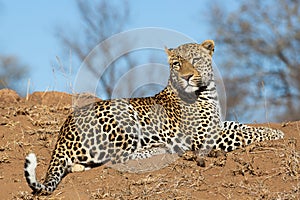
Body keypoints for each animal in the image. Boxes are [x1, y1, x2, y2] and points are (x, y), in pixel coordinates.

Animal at [24, 39, 284, 194]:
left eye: (195, 60)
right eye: (177, 64)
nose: (187, 77)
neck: (207, 92)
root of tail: (64, 130)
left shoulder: (216, 125)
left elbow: (240, 126)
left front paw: (272, 129)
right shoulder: (202, 137)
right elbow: (244, 133)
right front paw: (276, 133)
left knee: (87, 164)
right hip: (124, 118)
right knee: (117, 159)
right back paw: (163, 149)